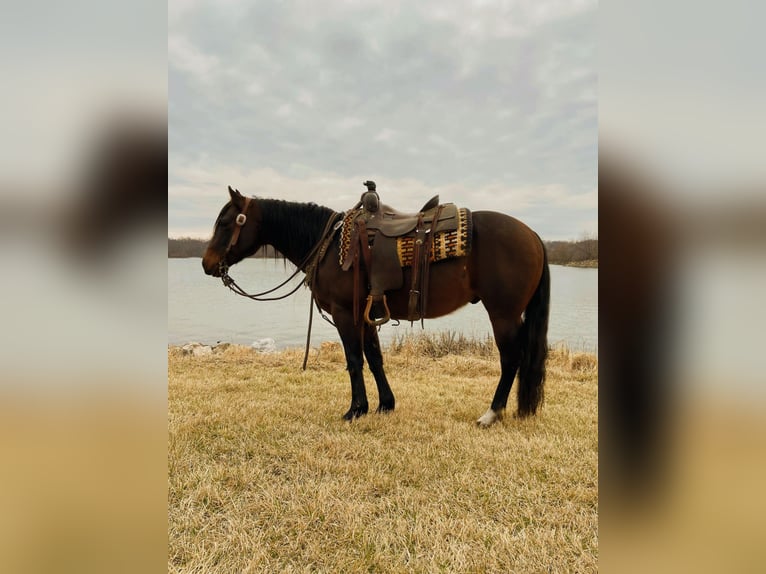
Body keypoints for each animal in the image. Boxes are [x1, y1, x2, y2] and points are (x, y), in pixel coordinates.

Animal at [204, 187, 552, 430]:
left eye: (226, 222)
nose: (207, 264)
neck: (329, 245)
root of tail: (534, 235)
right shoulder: (367, 315)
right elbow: (375, 359)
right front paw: (385, 404)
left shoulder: (345, 314)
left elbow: (354, 361)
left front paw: (355, 409)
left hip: (503, 314)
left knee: (511, 359)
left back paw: (491, 414)